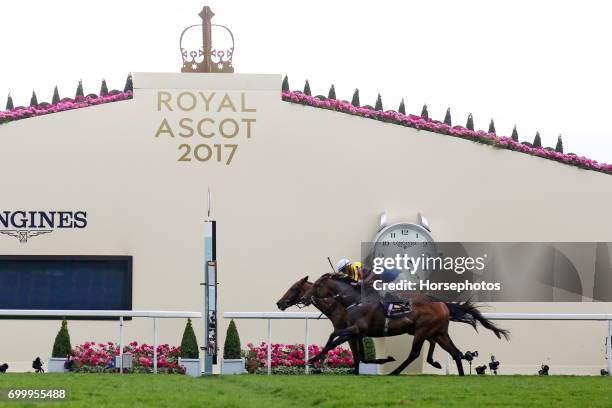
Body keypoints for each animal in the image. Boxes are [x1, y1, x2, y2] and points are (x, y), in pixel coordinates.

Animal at [300, 274, 506, 376]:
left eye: (316, 285)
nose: (304, 297)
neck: (356, 300)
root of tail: (442, 304)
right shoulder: (356, 332)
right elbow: (338, 341)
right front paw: (316, 359)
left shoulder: (357, 329)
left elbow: (333, 337)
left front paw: (313, 359)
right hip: (439, 332)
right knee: (455, 352)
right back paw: (459, 375)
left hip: (422, 330)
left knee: (414, 353)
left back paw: (395, 372)